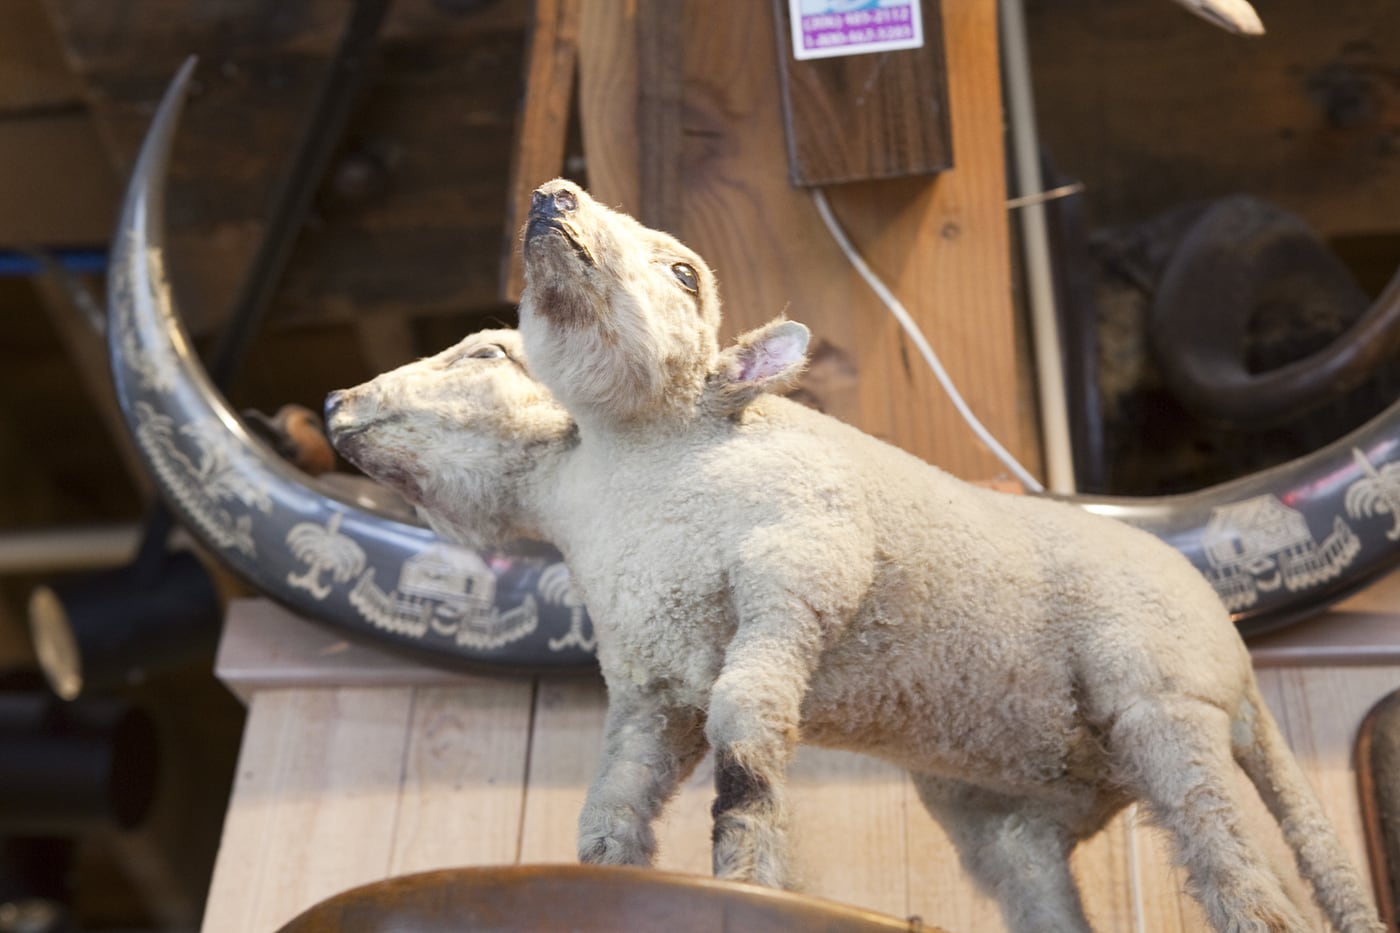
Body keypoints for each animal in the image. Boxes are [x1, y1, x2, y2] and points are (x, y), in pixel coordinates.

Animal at [324, 182, 1377, 930]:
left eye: (684, 274)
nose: (334, 404)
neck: (640, 471)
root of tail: (1239, 659)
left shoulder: (799, 572)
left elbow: (747, 738)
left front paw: (748, 874)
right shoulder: (650, 681)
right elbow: (614, 801)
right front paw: (603, 878)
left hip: (1166, 705)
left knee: (1248, 882)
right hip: (1015, 811)